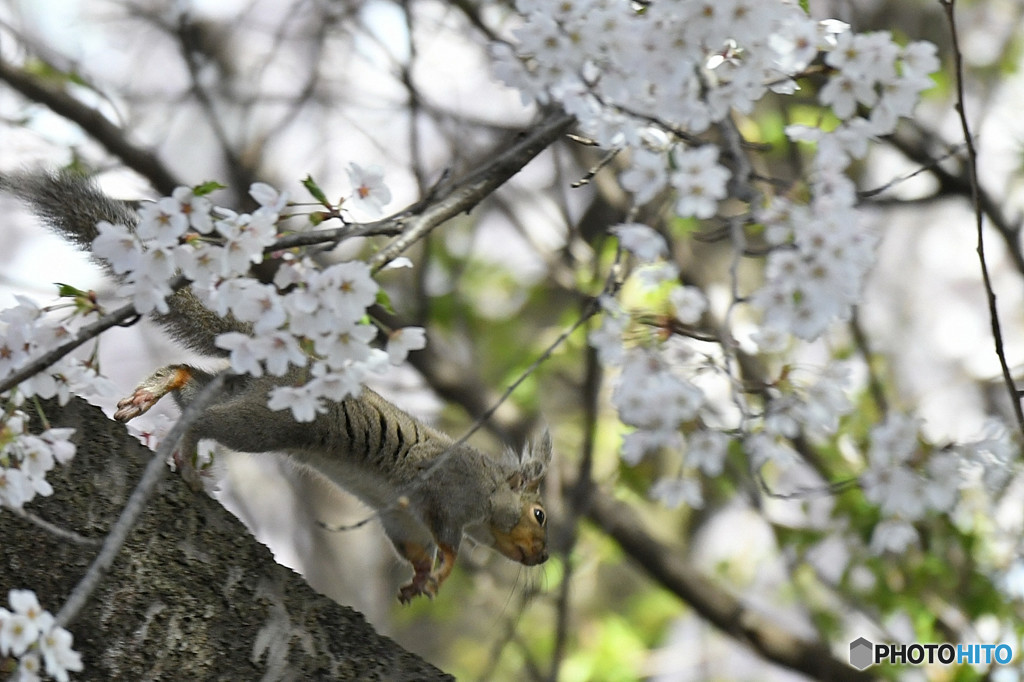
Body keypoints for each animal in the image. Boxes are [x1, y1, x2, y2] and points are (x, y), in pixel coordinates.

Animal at [2, 169, 552, 602]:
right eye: (540, 514)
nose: (544, 558)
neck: (487, 492)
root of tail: (273, 354)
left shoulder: (397, 514)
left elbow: (412, 547)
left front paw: (418, 580)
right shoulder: (449, 491)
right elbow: (448, 543)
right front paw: (442, 572)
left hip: (242, 393)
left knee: (190, 381)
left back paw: (153, 391)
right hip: (265, 423)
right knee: (201, 420)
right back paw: (187, 454)